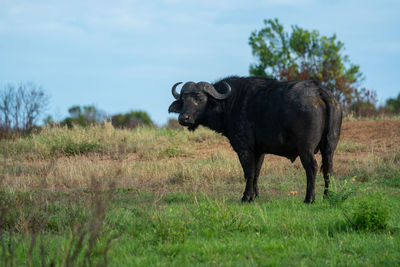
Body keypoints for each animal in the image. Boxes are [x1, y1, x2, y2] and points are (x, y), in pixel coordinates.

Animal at [167, 76, 342, 204]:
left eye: (200, 98)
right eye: (184, 99)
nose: (184, 118)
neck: (230, 102)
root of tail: (319, 91)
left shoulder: (244, 148)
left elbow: (248, 172)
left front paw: (246, 197)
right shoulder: (260, 151)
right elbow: (257, 171)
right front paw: (255, 195)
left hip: (305, 148)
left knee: (312, 167)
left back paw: (309, 199)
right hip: (330, 146)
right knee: (328, 168)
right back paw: (327, 196)